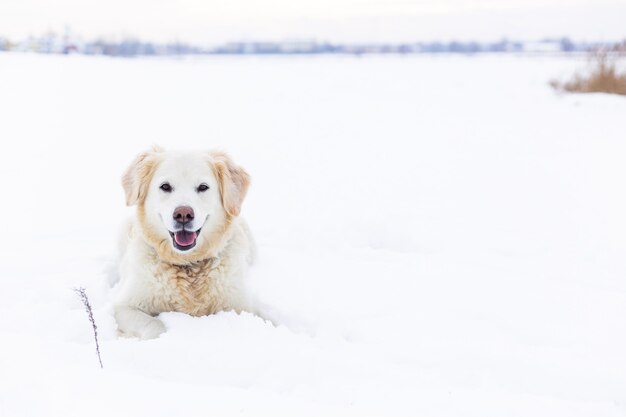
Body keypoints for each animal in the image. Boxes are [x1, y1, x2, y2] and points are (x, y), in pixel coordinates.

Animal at [111, 146, 254, 338]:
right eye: (165, 186)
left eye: (203, 187)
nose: (183, 214)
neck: (188, 264)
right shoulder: (124, 306)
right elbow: (154, 324)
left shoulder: (241, 306)